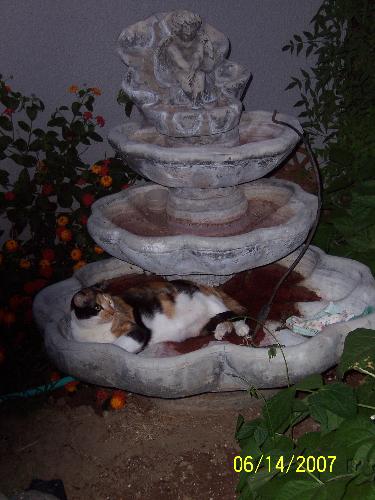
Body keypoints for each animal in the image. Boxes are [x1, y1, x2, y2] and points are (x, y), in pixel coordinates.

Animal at [71, 280, 251, 354]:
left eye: (110, 302)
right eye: (97, 307)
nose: (112, 312)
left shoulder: (137, 330)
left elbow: (117, 346)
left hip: (211, 303)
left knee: (236, 315)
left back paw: (242, 329)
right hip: (205, 324)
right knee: (224, 319)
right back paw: (221, 331)